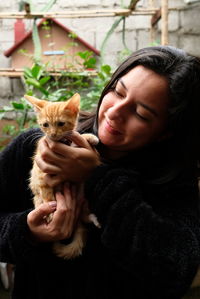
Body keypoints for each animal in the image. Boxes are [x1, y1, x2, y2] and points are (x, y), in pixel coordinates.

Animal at [24, 94, 100, 260]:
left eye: (61, 123)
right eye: (45, 125)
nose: (52, 134)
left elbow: (76, 139)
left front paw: (90, 137)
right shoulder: (41, 176)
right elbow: (47, 194)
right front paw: (52, 211)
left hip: (82, 201)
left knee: (84, 218)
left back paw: (93, 219)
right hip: (37, 200)